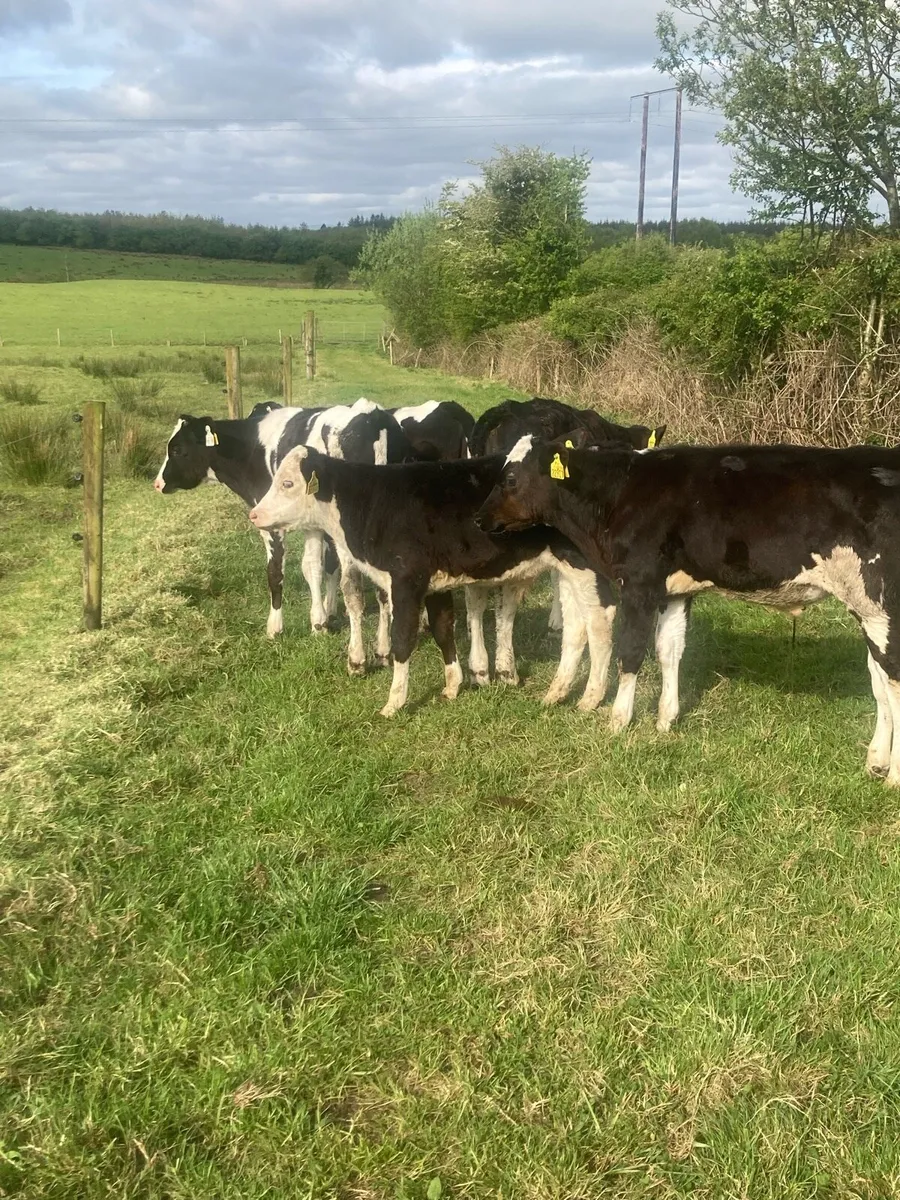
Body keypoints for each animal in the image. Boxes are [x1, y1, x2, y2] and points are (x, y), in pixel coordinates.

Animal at [247, 447, 617, 717]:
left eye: (288, 484)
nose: (254, 514)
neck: (370, 502)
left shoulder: (406, 581)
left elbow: (402, 640)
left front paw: (394, 703)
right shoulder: (434, 583)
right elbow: (442, 630)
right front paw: (452, 686)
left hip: (588, 567)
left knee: (599, 625)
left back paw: (591, 698)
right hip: (566, 568)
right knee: (576, 627)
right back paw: (556, 692)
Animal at [474, 435, 900, 785]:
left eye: (509, 477)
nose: (478, 518)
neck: (620, 492)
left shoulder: (639, 584)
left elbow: (630, 653)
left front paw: (618, 719)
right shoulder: (675, 591)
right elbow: (669, 650)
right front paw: (666, 719)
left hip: (880, 608)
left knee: (891, 682)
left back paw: (892, 776)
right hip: (867, 611)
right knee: (880, 684)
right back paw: (876, 762)